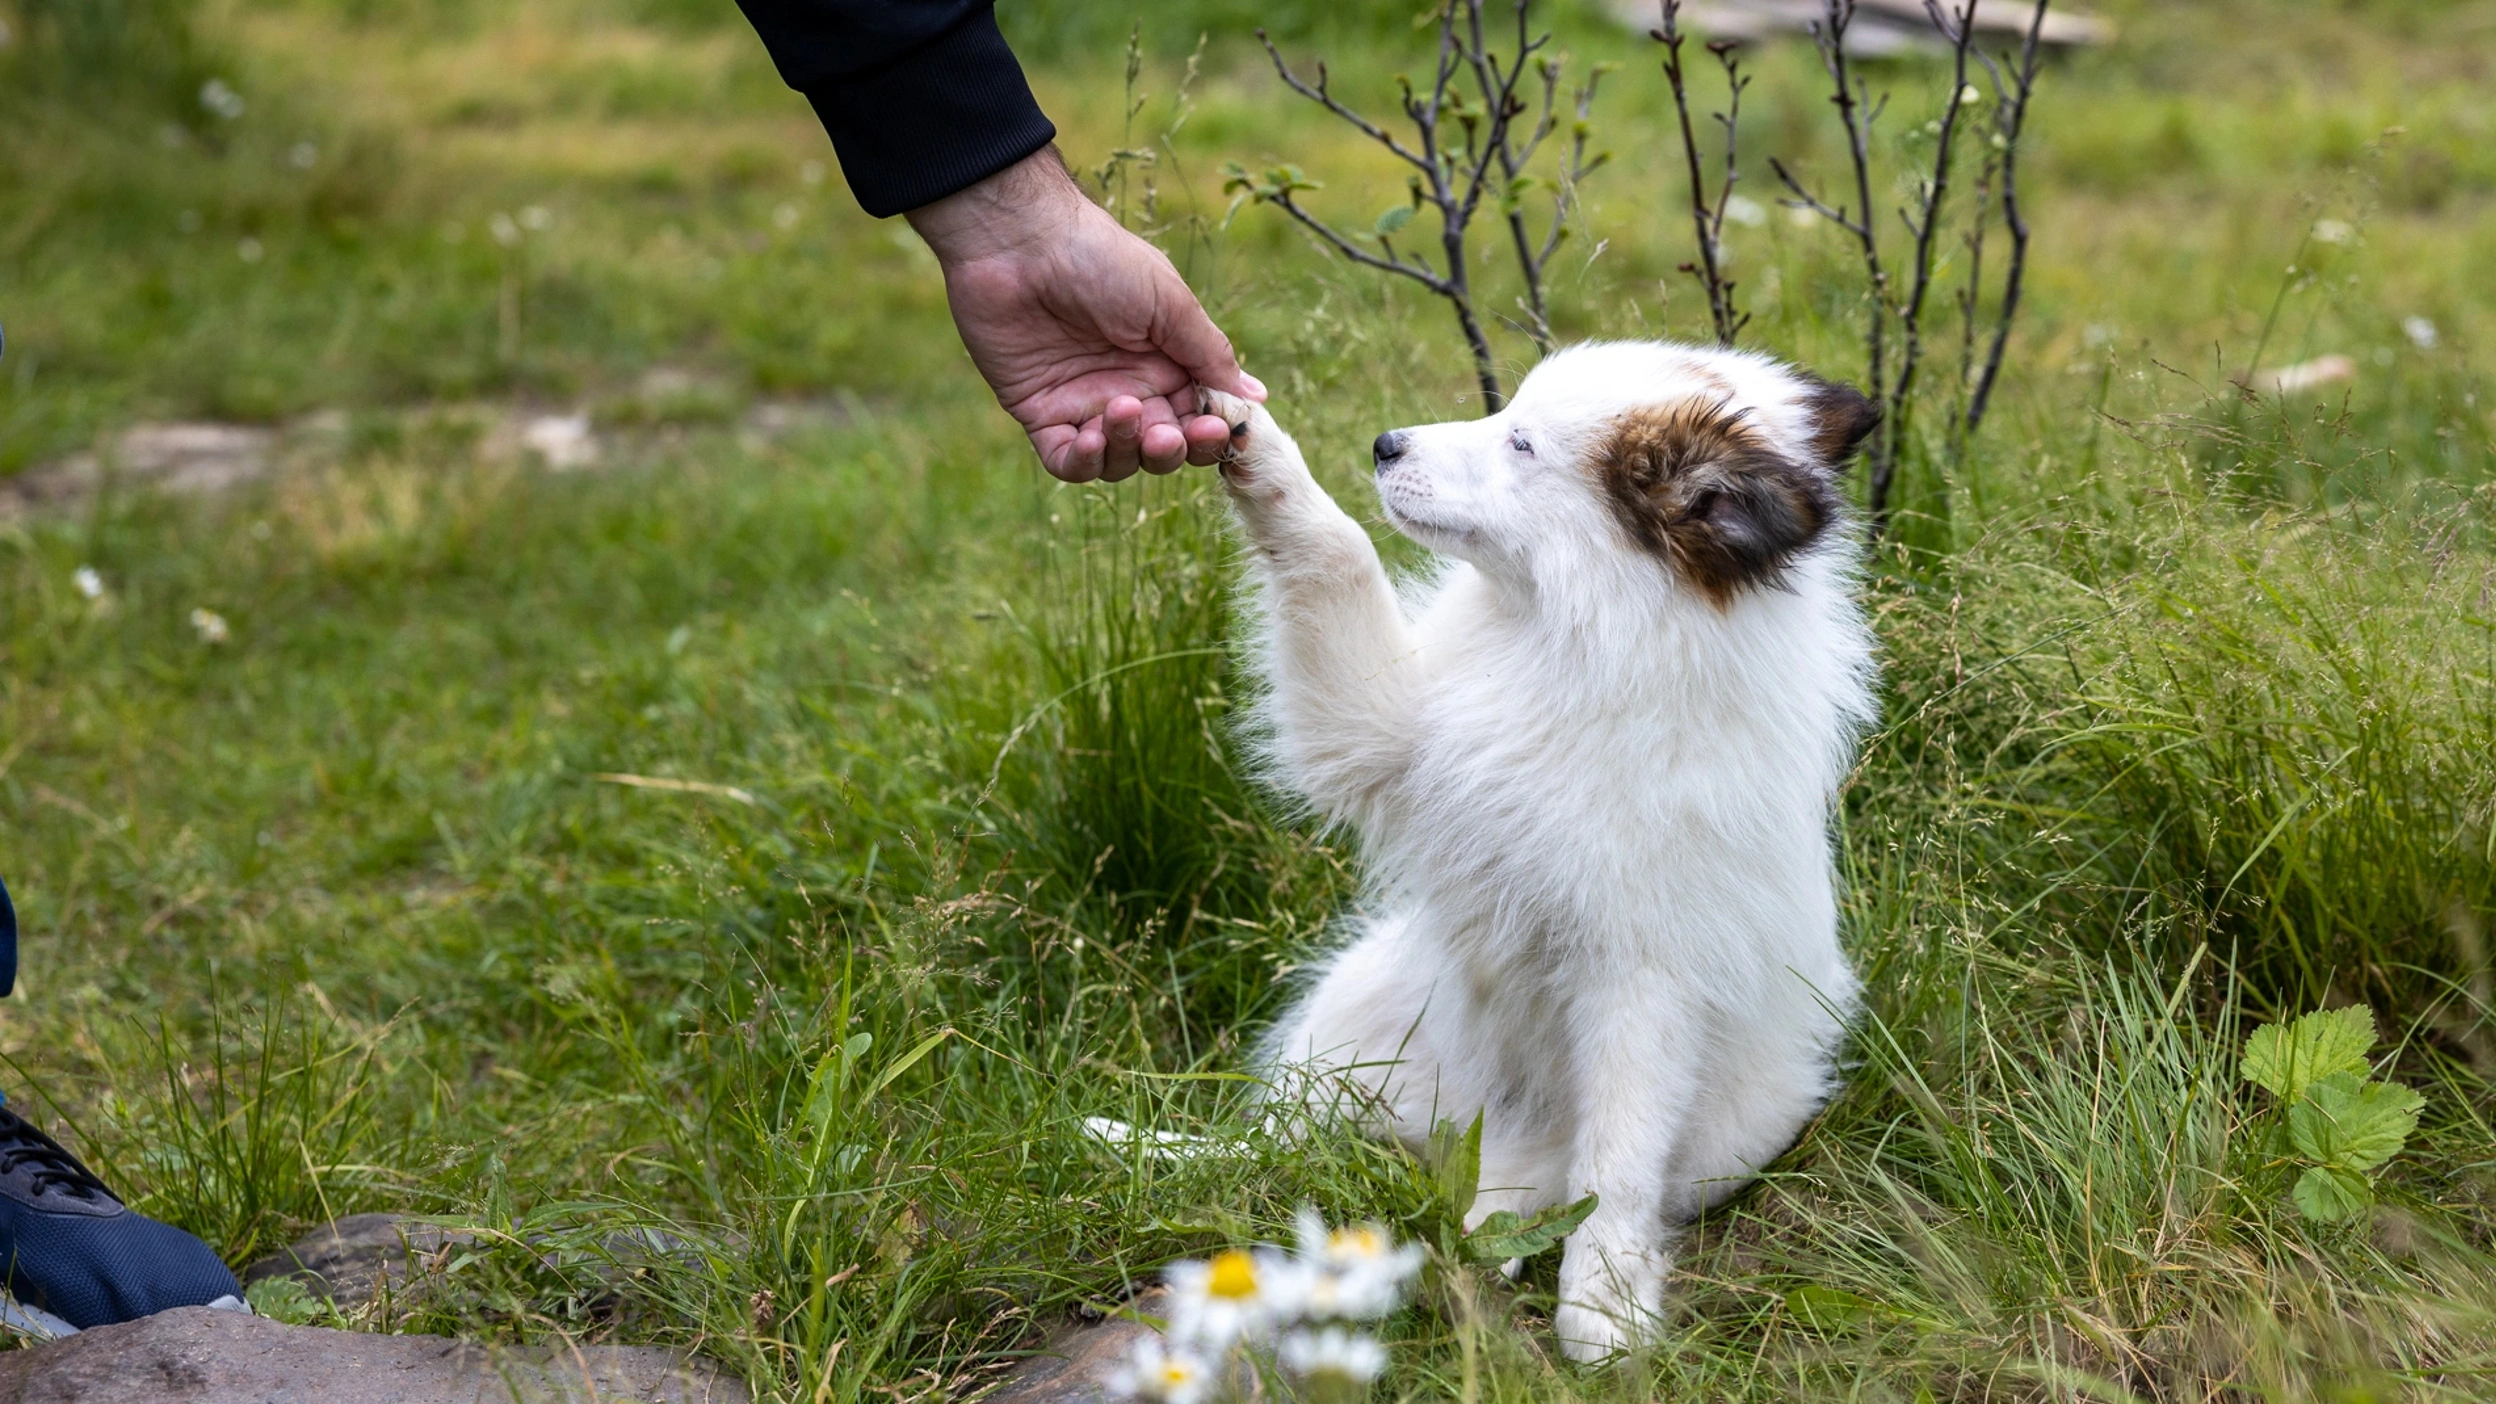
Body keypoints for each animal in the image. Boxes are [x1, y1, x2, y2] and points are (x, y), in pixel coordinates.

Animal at [1198, 342, 1876, 1359]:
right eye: (1505, 412)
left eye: (1521, 444)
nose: (1385, 444)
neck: (1564, 644)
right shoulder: (1383, 727)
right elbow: (1337, 553)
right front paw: (1253, 442)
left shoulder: (1644, 983)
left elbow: (1620, 1163)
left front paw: (1603, 1302)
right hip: (1359, 1007)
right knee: (1290, 1138)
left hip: (1736, 1120)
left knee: (1557, 1170)